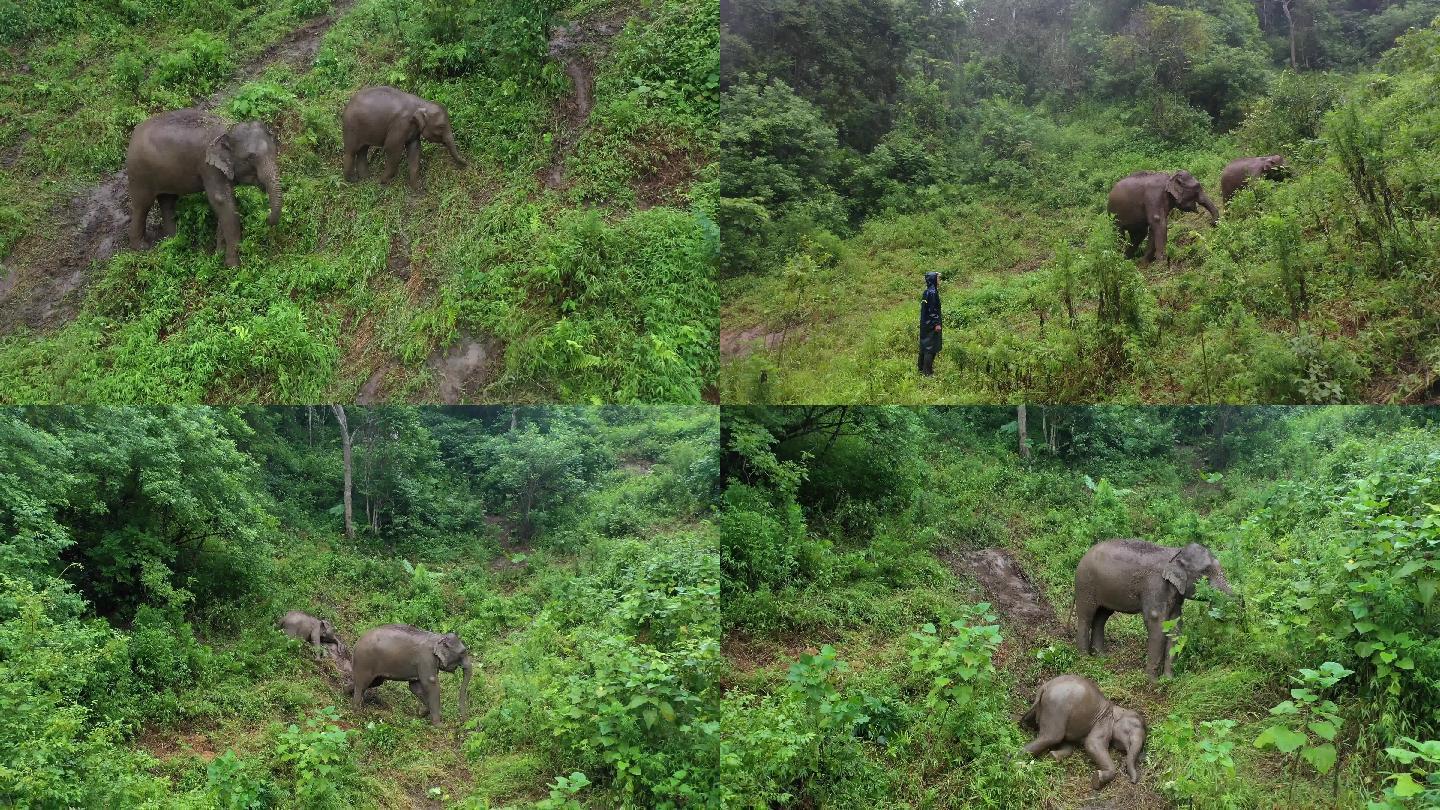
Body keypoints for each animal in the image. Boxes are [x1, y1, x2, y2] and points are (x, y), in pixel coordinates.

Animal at [126, 105, 280, 265]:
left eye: (275, 151)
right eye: (250, 157)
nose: (266, 216)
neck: (228, 129)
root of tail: (133, 134)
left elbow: (225, 204)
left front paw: (218, 254)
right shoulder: (208, 167)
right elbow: (221, 200)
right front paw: (232, 265)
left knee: (168, 201)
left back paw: (174, 241)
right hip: (139, 173)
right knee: (142, 205)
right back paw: (142, 247)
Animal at [1071, 539, 1238, 677]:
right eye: (1205, 573)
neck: (1176, 553)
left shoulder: (1175, 595)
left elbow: (1175, 626)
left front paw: (1169, 679)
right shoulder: (1156, 586)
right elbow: (1157, 623)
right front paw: (1153, 681)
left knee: (1101, 617)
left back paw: (1101, 658)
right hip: (1085, 584)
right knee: (1086, 617)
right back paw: (1085, 659)